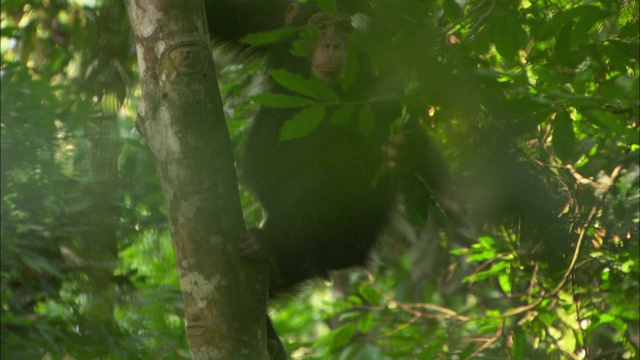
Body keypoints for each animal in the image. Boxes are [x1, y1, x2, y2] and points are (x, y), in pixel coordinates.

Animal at [208, 0, 448, 358]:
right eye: (321, 27)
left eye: (347, 29)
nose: (332, 45)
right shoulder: (272, 22)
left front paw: (406, 151)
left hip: (345, 237)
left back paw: (270, 244)